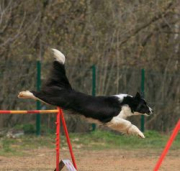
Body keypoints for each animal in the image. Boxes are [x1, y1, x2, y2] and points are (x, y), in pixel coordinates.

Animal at [18, 48, 153, 138]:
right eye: (144, 104)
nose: (151, 110)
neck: (126, 102)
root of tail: (68, 88)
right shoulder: (112, 118)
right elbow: (129, 124)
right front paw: (140, 134)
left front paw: (139, 134)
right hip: (53, 98)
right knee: (37, 93)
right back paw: (23, 93)